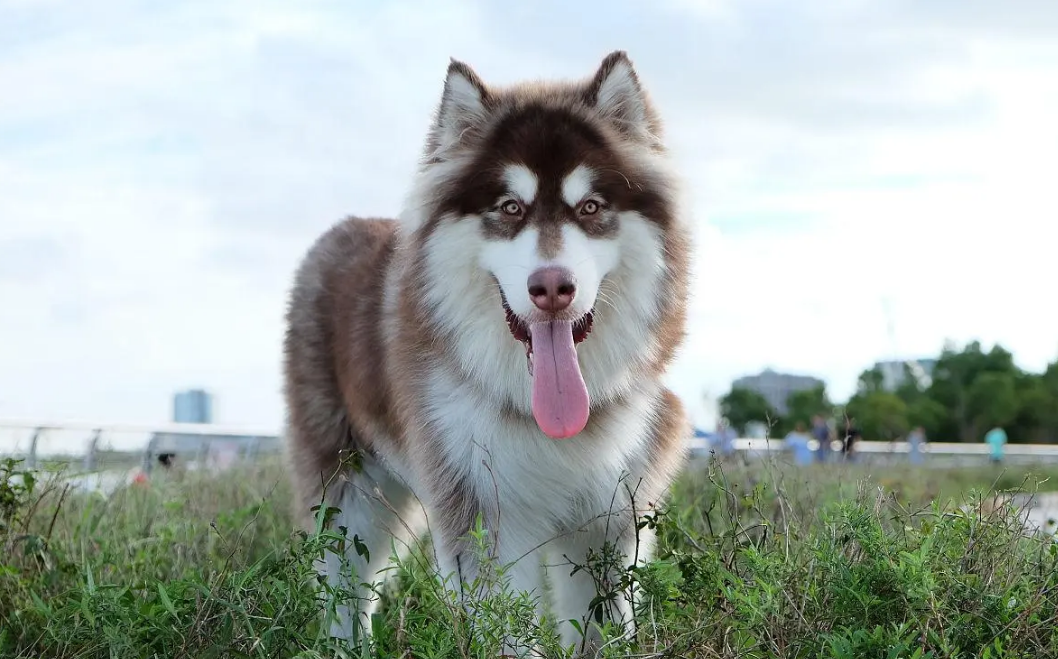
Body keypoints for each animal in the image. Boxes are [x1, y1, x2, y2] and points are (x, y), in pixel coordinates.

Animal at [281, 50, 694, 655]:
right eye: (510, 206)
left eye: (591, 206)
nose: (552, 287)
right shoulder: (482, 511)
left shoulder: (610, 515)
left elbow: (602, 624)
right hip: (348, 488)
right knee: (345, 592)